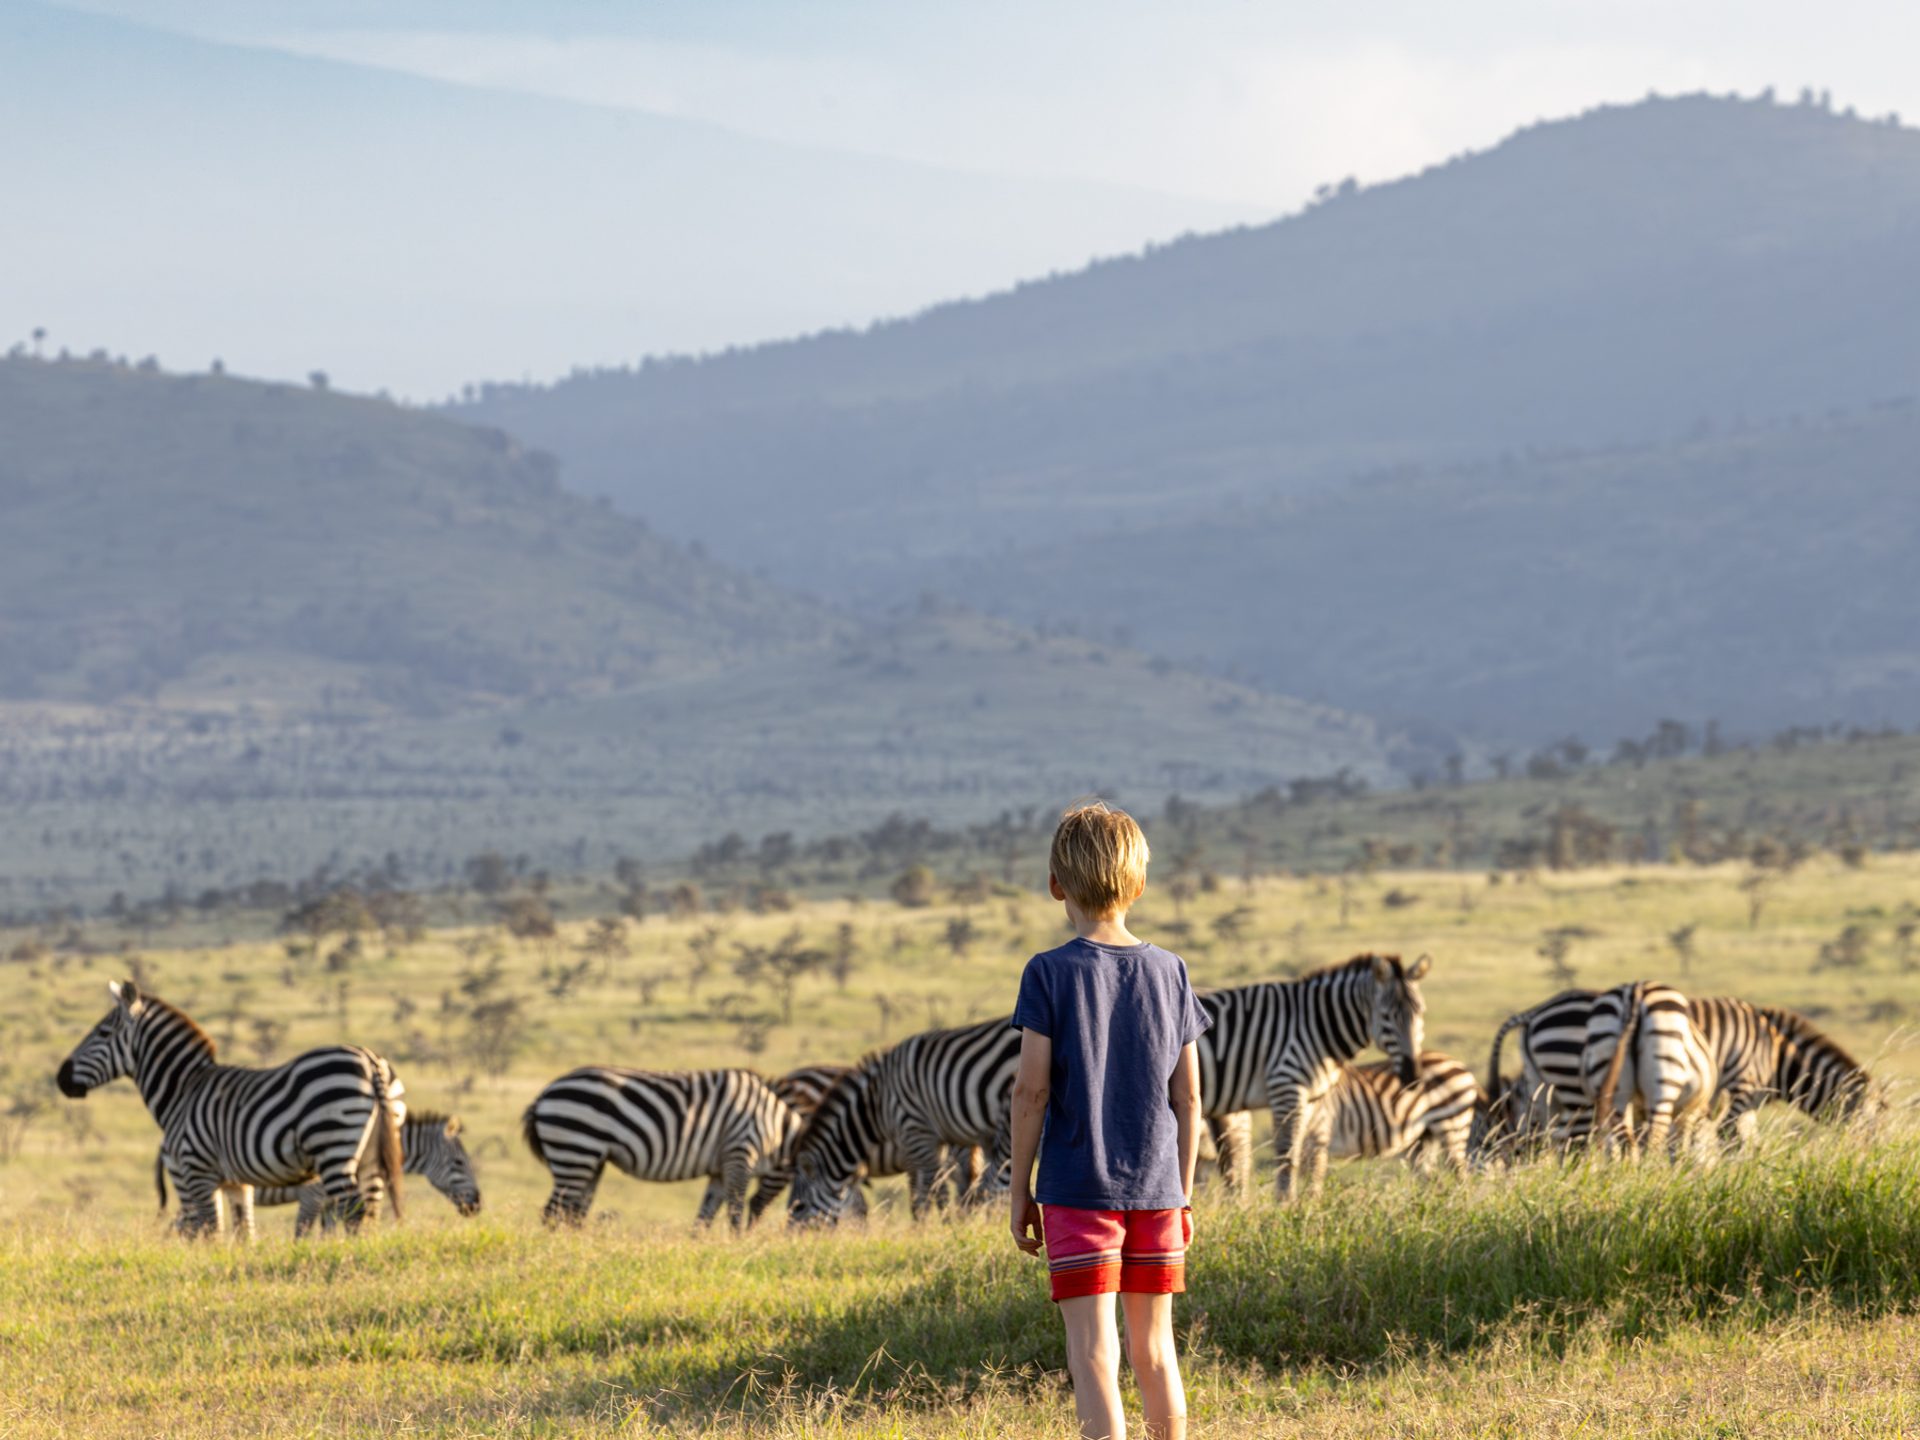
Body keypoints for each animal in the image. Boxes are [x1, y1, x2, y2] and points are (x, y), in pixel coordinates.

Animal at [57, 980, 405, 1238]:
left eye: (102, 1033)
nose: (61, 1078)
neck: (184, 1091)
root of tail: (371, 1062)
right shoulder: (238, 1183)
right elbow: (244, 1234)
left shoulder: (198, 1171)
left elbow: (213, 1231)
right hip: (370, 1154)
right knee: (369, 1213)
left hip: (332, 1144)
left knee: (353, 1211)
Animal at [159, 1110, 482, 1235]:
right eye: (459, 1163)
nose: (477, 1205)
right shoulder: (314, 1195)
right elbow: (302, 1234)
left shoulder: (328, 1201)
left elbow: (327, 1234)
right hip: (190, 1183)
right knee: (184, 1226)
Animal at [522, 1066, 802, 1226]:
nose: (755, 1224)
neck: (776, 1128)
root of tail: (544, 1095)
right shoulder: (740, 1154)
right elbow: (734, 1210)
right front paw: (736, 1245)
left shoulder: (721, 1169)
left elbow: (705, 1215)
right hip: (575, 1148)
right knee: (552, 1213)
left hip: (588, 1160)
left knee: (573, 1212)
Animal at [788, 1016, 1018, 1224]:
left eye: (799, 1207)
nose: (793, 1238)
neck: (877, 1104)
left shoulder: (917, 1135)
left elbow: (932, 1193)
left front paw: (942, 1228)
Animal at [1196, 952, 1432, 1199]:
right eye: (1386, 1017)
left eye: (1421, 1013)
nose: (1414, 1076)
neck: (1315, 1025)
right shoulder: (1286, 1085)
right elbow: (1287, 1152)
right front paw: (1285, 1203)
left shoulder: (1308, 1099)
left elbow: (1300, 1152)